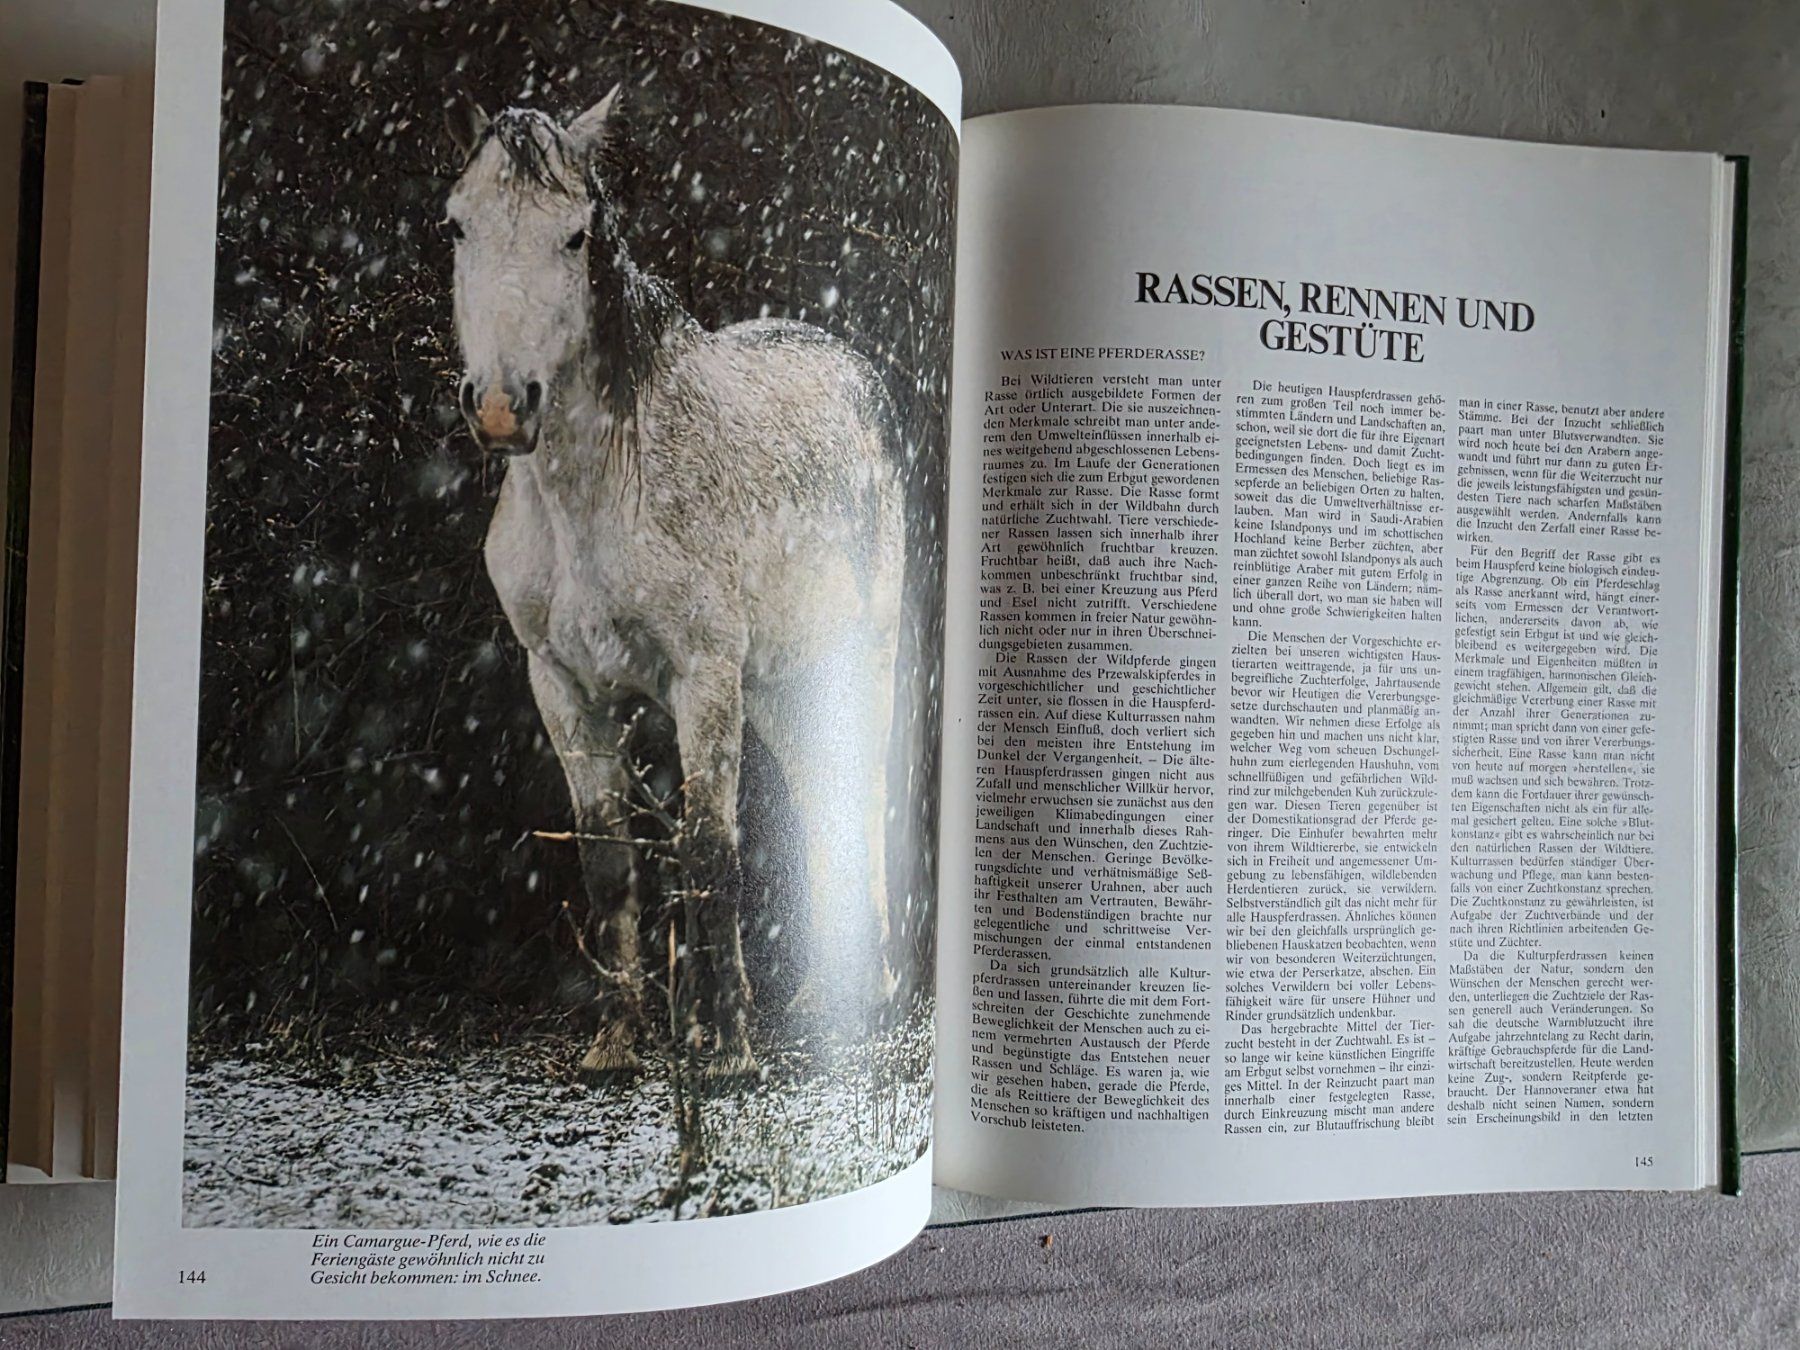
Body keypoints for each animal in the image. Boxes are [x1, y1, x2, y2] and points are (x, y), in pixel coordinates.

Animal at [443, 88, 905, 1077]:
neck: (604, 489)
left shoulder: (703, 678)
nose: (501, 406)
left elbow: (709, 853)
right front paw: (620, 1039)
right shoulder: (562, 684)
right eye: (457, 225)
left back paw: (875, 997)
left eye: (576, 235)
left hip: (861, 657)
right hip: (781, 684)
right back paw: (818, 1000)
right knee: (819, 798)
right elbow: (609, 860)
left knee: (863, 791)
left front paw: (727, 1050)